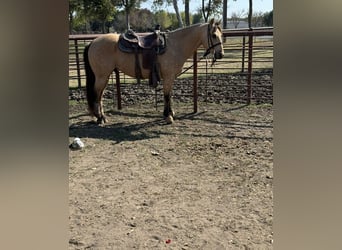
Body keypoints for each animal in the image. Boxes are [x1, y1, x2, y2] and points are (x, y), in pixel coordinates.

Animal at [83, 18, 224, 124]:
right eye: (213, 35)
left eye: (221, 35)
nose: (221, 54)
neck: (175, 45)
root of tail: (92, 42)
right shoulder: (168, 76)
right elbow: (166, 95)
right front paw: (168, 116)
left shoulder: (170, 77)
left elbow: (169, 95)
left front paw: (170, 113)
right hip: (102, 76)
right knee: (97, 95)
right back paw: (100, 118)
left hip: (104, 77)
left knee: (100, 95)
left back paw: (101, 117)